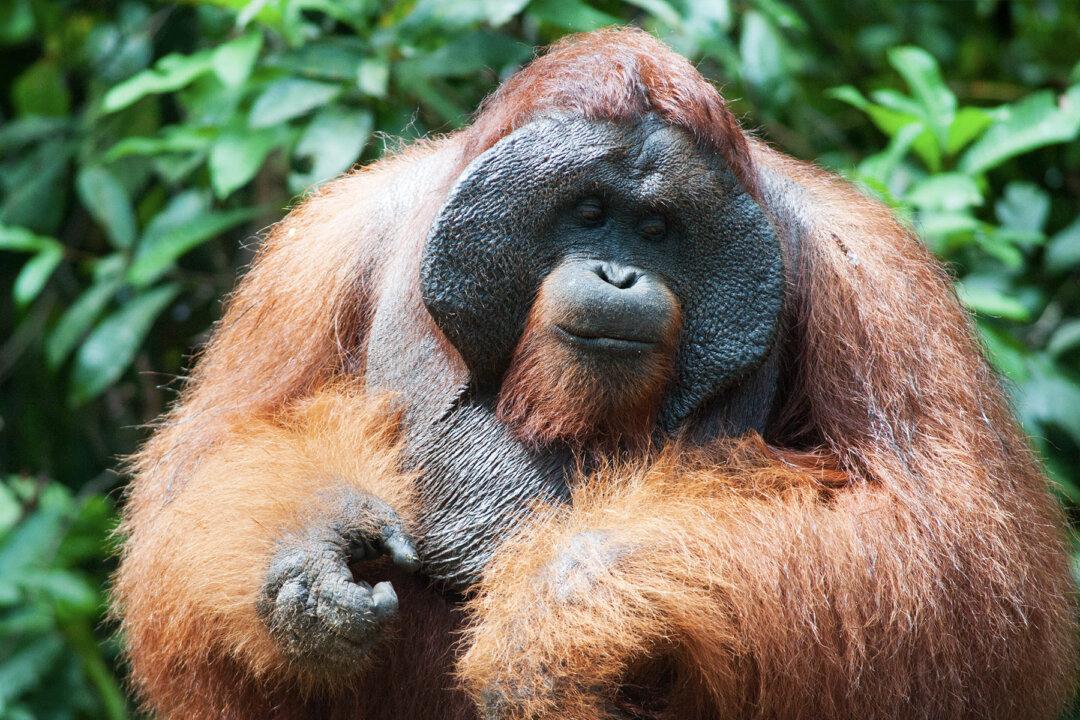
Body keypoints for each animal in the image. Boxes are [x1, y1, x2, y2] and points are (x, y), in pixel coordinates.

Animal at [115, 27, 1077, 720]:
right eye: (586, 211)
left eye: (655, 228)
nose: (618, 274)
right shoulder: (318, 249)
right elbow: (196, 479)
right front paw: (307, 559)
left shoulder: (877, 278)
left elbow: (962, 556)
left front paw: (564, 605)